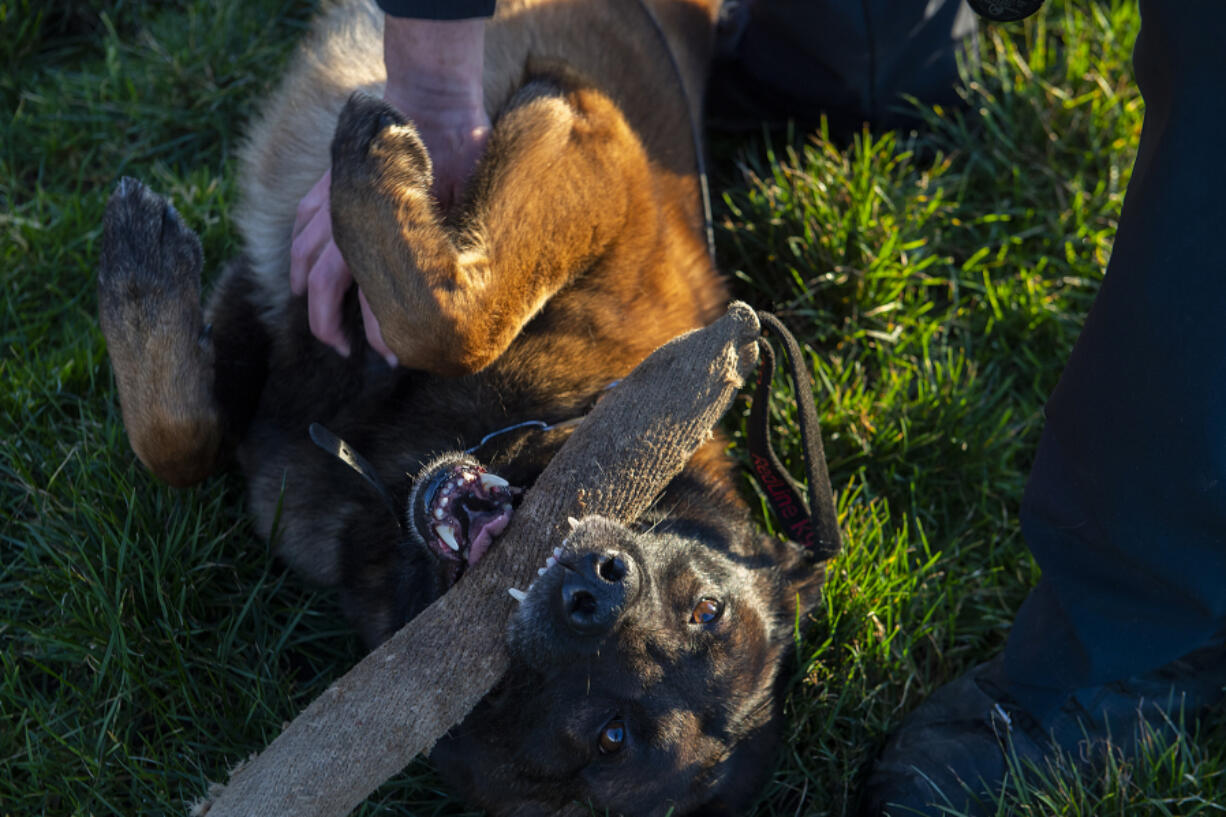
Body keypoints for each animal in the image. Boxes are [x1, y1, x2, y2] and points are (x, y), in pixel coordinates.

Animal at [95, 1, 823, 809]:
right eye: (705, 608)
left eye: (613, 737)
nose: (600, 588)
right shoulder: (603, 151)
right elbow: (459, 326)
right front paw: (144, 274)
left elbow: (190, 444)